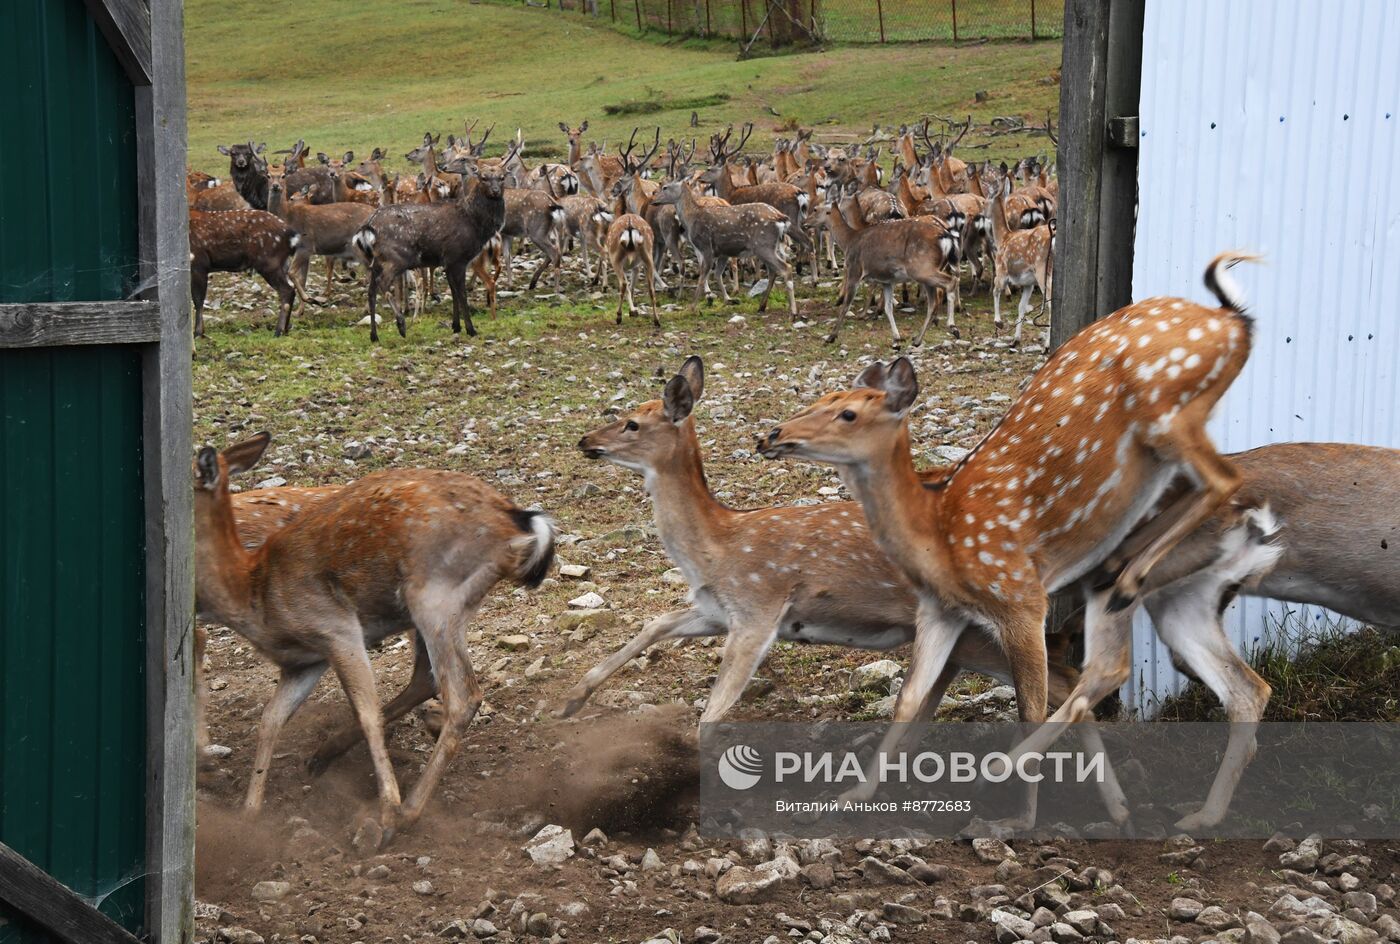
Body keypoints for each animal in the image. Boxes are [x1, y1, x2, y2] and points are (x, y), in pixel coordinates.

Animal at [194, 431, 554, 840]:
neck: (251, 592)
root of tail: (521, 523)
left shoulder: (337, 628)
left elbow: (367, 712)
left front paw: (387, 810)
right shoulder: (304, 662)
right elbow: (270, 720)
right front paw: (249, 815)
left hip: (434, 596)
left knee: (462, 695)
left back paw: (406, 811)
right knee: (428, 679)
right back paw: (324, 756)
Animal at [352, 144, 518, 340]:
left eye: (501, 178)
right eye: (483, 178)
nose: (495, 191)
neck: (474, 222)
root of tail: (367, 227)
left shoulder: (448, 262)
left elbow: (454, 293)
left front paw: (456, 326)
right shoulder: (457, 257)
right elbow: (461, 294)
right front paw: (470, 329)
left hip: (375, 260)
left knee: (371, 291)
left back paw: (374, 335)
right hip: (396, 257)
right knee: (382, 283)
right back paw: (401, 324)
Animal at [761, 252, 1265, 823]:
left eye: (848, 412)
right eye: (819, 397)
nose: (772, 435)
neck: (938, 533)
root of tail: (1232, 322)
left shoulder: (1021, 595)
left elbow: (1028, 705)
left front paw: (1020, 819)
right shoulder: (940, 610)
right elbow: (909, 699)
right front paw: (851, 796)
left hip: (1166, 410)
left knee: (1221, 482)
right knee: (1217, 682)